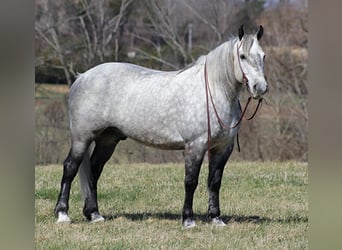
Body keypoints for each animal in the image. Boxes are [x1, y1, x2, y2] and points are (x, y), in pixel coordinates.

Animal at [54, 25, 268, 229]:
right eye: (242, 56)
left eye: (263, 56)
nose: (260, 88)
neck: (214, 91)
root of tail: (82, 77)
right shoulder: (195, 146)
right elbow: (191, 181)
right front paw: (188, 220)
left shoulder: (223, 148)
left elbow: (214, 182)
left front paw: (216, 218)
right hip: (82, 139)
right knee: (70, 168)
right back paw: (62, 214)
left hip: (107, 140)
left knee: (94, 171)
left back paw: (94, 214)